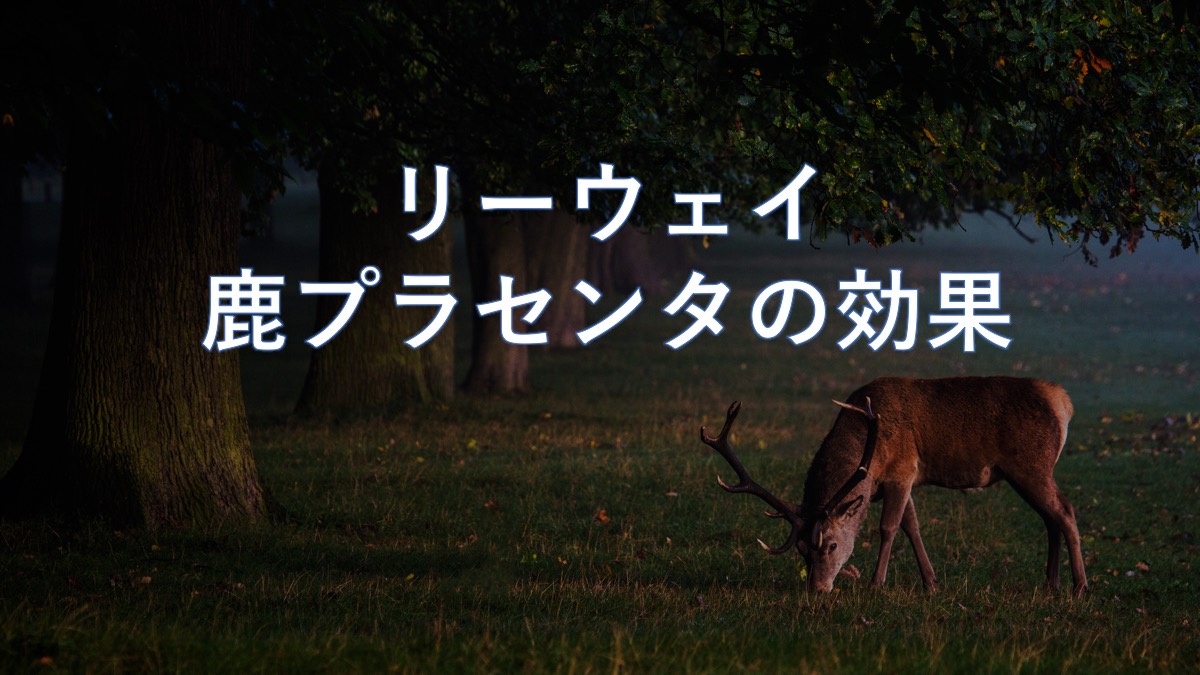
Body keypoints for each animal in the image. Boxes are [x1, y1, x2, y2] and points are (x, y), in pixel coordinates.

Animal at [700, 374, 1089, 595]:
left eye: (831, 545)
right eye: (801, 550)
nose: (817, 589)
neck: (871, 453)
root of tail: (1063, 402)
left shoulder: (903, 469)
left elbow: (889, 527)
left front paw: (876, 583)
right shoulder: (900, 481)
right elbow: (911, 526)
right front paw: (931, 583)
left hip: (1033, 464)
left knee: (1066, 510)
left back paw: (1080, 586)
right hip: (1023, 473)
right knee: (1049, 518)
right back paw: (1050, 583)